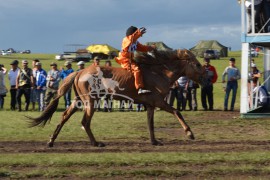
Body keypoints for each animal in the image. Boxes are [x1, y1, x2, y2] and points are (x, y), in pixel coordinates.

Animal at [27, 48, 207, 147]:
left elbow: (150, 124)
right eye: (197, 64)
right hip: (90, 102)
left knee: (64, 117)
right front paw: (189, 133)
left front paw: (155, 141)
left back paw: (51, 141)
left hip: (78, 101)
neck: (160, 72)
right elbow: (177, 111)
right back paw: (96, 143)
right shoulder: (159, 101)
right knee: (85, 121)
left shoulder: (150, 104)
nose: (206, 79)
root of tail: (79, 72)